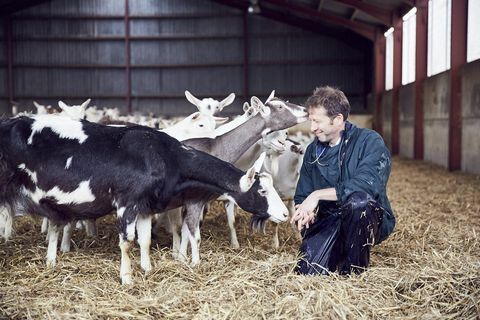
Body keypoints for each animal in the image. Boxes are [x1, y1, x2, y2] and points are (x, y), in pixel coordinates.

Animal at [0, 114, 286, 284]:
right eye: (262, 191)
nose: (285, 214)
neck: (160, 156)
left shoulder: (147, 207)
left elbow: (145, 239)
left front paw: (147, 268)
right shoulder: (127, 203)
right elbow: (127, 242)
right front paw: (127, 277)